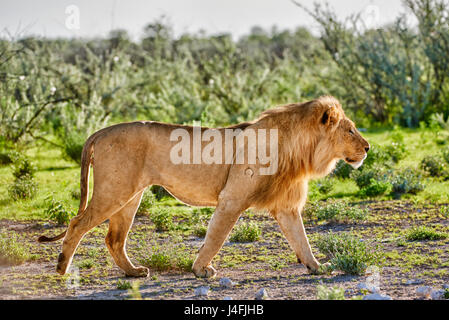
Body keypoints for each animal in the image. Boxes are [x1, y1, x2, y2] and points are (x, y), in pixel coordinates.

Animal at [37, 94, 368, 278]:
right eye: (351, 130)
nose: (367, 148)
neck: (299, 150)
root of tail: (99, 131)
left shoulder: (286, 207)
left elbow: (301, 240)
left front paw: (317, 267)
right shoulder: (231, 199)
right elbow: (215, 237)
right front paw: (200, 270)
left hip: (130, 196)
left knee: (114, 239)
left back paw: (134, 273)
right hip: (114, 191)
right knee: (76, 223)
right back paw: (61, 269)